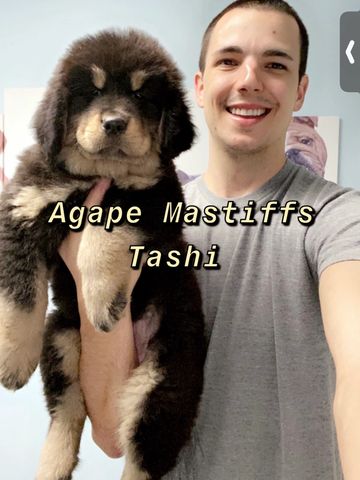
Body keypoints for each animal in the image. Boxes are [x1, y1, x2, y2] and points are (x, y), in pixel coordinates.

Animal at [0, 30, 205, 480]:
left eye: (142, 94)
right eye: (90, 92)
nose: (114, 122)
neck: (98, 174)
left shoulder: (152, 199)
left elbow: (100, 235)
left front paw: (101, 302)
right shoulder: (22, 208)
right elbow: (18, 295)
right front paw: (11, 360)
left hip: (166, 380)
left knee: (144, 454)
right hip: (60, 337)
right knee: (68, 411)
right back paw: (51, 464)